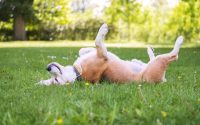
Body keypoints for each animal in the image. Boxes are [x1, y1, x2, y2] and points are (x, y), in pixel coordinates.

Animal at [38, 23, 184, 85]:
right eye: (56, 80)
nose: (47, 68)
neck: (77, 73)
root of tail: (161, 81)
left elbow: (82, 49)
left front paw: (85, 49)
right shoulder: (103, 56)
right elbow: (97, 41)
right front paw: (103, 29)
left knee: (148, 59)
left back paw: (144, 54)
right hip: (159, 62)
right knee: (174, 55)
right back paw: (179, 40)